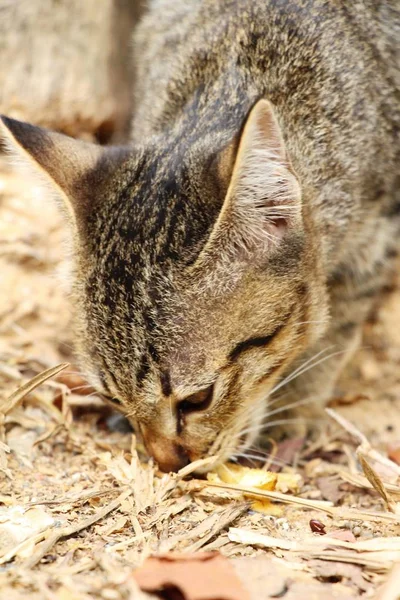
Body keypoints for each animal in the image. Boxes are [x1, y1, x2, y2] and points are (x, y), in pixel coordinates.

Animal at [0, 0, 400, 472]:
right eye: (112, 396)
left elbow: (339, 322)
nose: (168, 464)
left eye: (199, 399)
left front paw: (296, 406)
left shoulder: (380, 227)